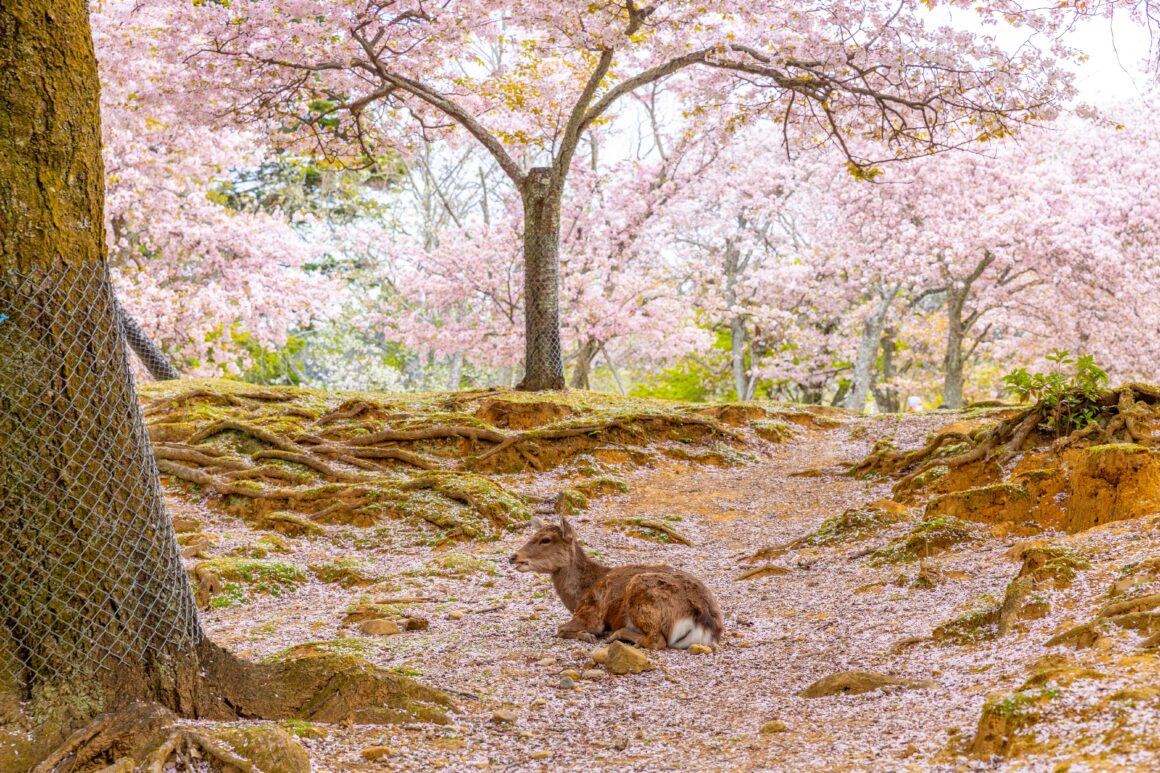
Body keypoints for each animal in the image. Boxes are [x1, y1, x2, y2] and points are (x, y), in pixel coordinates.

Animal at [510, 515, 719, 645]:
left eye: (545, 539)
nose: (513, 557)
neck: (578, 596)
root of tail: (704, 623)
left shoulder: (591, 613)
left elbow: (560, 629)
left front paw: (587, 636)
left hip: (642, 594)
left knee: (656, 640)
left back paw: (616, 635)